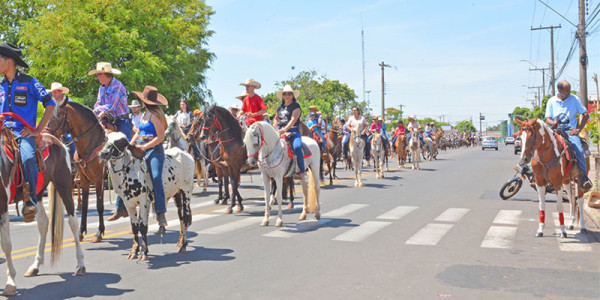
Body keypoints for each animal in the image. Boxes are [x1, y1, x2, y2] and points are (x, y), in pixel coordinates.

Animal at [45, 100, 106, 241]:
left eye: (58, 116)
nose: (47, 134)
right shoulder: (84, 179)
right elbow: (85, 205)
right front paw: (81, 232)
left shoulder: (98, 178)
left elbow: (99, 205)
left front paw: (98, 233)